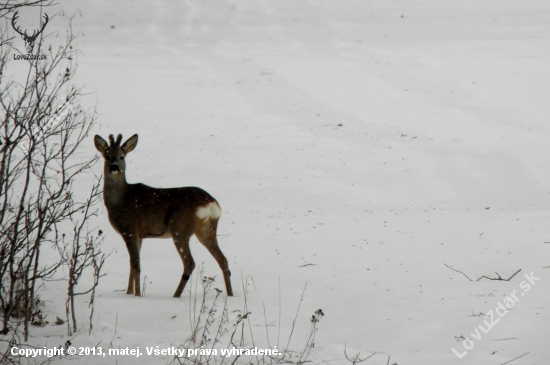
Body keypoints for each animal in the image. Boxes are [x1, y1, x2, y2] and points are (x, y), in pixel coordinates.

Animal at [95, 134, 233, 296]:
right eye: (107, 156)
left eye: (122, 156)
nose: (114, 167)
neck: (120, 199)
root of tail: (211, 204)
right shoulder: (139, 235)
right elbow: (132, 265)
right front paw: (129, 294)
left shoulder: (129, 229)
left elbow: (136, 264)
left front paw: (137, 295)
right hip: (206, 230)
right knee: (223, 259)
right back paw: (230, 294)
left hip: (180, 228)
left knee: (190, 263)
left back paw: (175, 296)